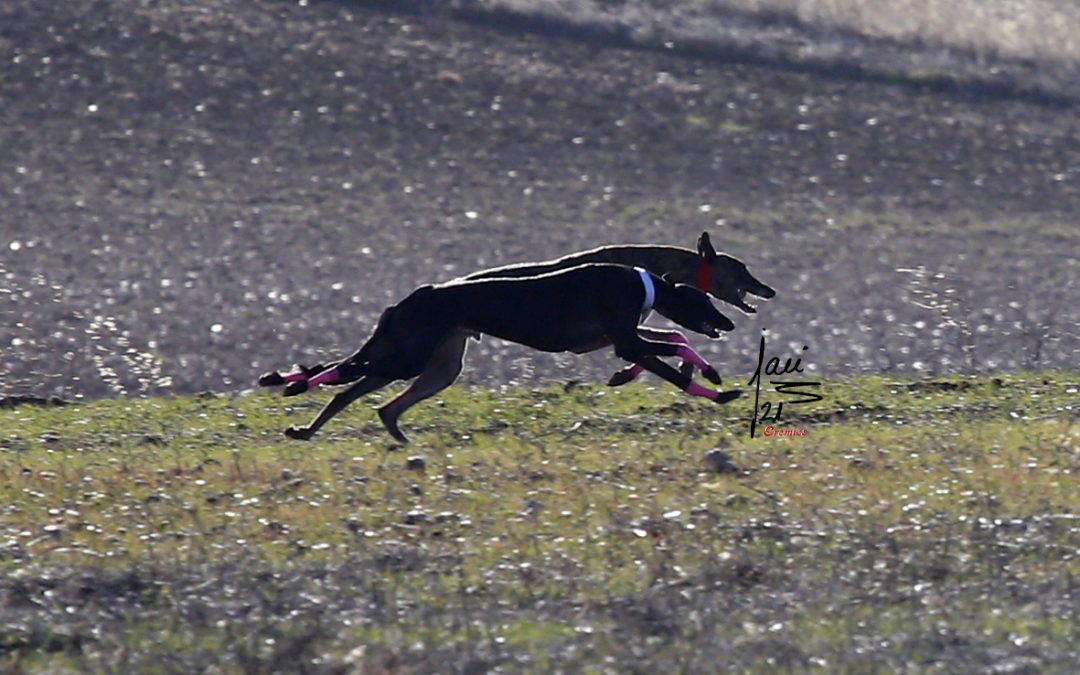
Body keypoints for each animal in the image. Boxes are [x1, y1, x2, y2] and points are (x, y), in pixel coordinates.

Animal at [259, 263, 743, 442]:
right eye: (705, 300)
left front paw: (709, 375)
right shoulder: (625, 339)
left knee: (365, 396)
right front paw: (718, 390)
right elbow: (674, 355)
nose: (729, 323)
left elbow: (675, 341)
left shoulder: (618, 340)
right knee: (343, 373)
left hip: (435, 363)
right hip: (408, 356)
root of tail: (405, 301)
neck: (641, 283)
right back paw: (290, 384)